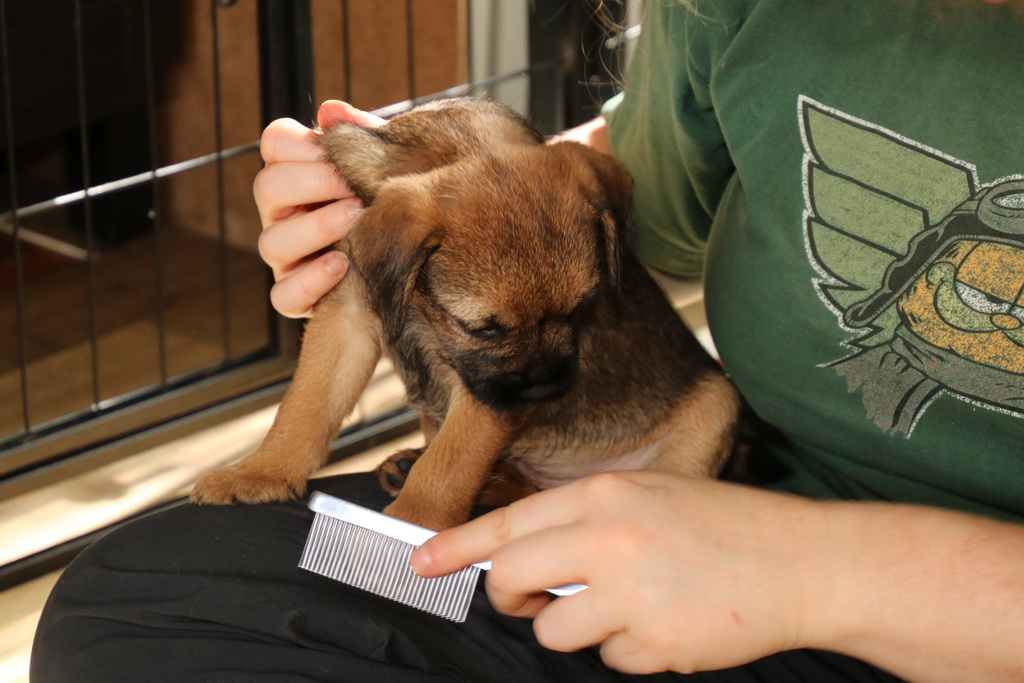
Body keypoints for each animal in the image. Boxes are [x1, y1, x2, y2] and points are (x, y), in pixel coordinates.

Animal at [190, 98, 741, 531]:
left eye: (582, 309)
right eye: (483, 328)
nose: (545, 388)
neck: (420, 312)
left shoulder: (484, 396)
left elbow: (452, 460)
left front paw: (412, 528)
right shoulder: (346, 314)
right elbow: (307, 404)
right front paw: (260, 473)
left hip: (717, 405)